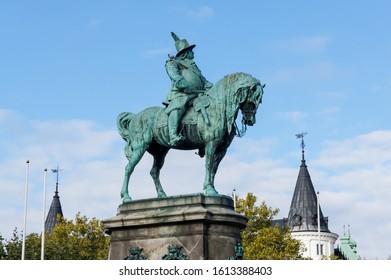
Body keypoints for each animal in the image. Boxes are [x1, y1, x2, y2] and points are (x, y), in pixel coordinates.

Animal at [116, 72, 264, 202]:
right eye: (252, 100)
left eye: (259, 101)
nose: (250, 121)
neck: (218, 107)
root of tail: (135, 117)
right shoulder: (211, 143)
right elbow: (208, 164)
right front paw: (209, 189)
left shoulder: (222, 149)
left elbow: (214, 169)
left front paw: (213, 189)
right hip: (140, 147)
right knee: (129, 168)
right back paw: (126, 196)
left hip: (160, 152)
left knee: (154, 172)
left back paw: (162, 195)